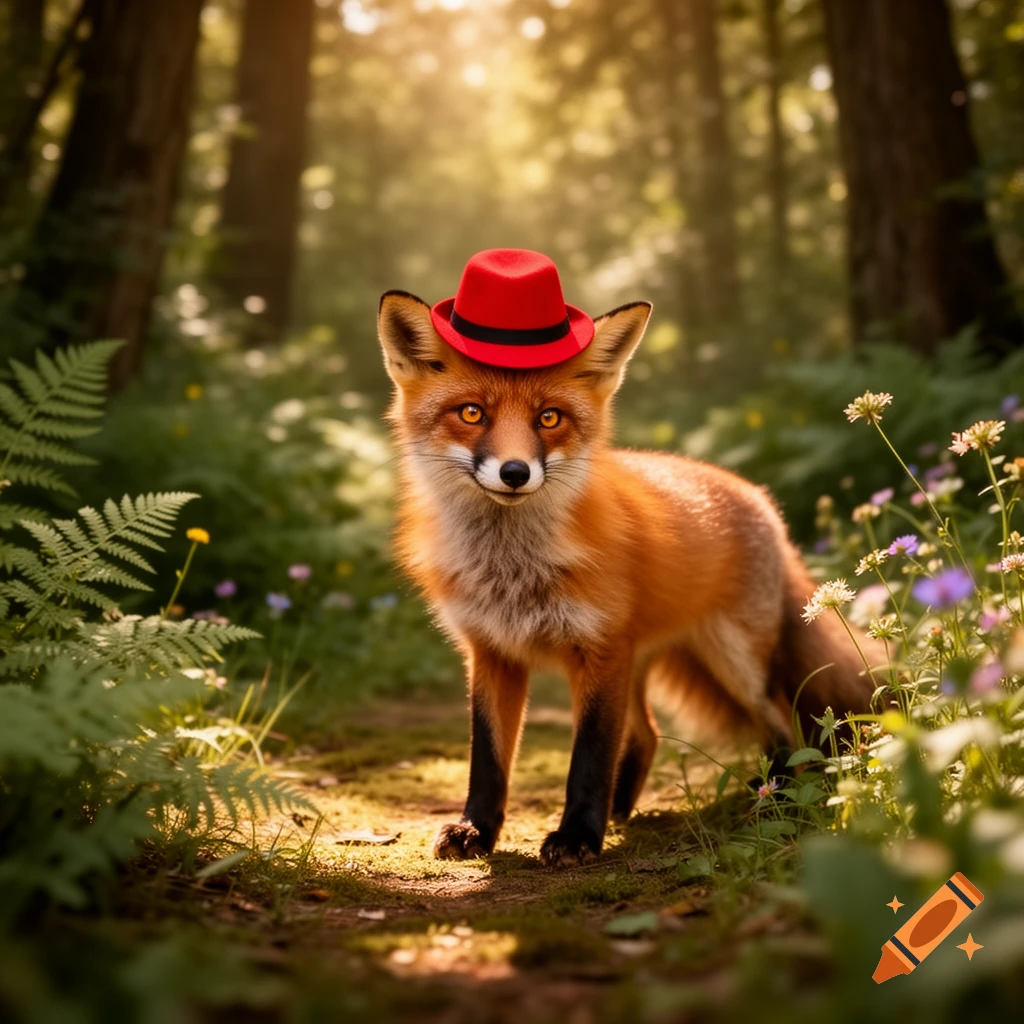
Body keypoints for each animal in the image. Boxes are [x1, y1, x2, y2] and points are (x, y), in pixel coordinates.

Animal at [377, 290, 883, 868]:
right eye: (471, 413)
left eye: (549, 417)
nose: (515, 472)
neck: (512, 571)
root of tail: (759, 498)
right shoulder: (492, 652)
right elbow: (487, 757)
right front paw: (475, 831)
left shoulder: (599, 650)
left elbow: (590, 754)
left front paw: (577, 836)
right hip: (643, 663)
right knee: (650, 733)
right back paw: (622, 810)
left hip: (732, 661)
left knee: (781, 723)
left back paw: (777, 800)